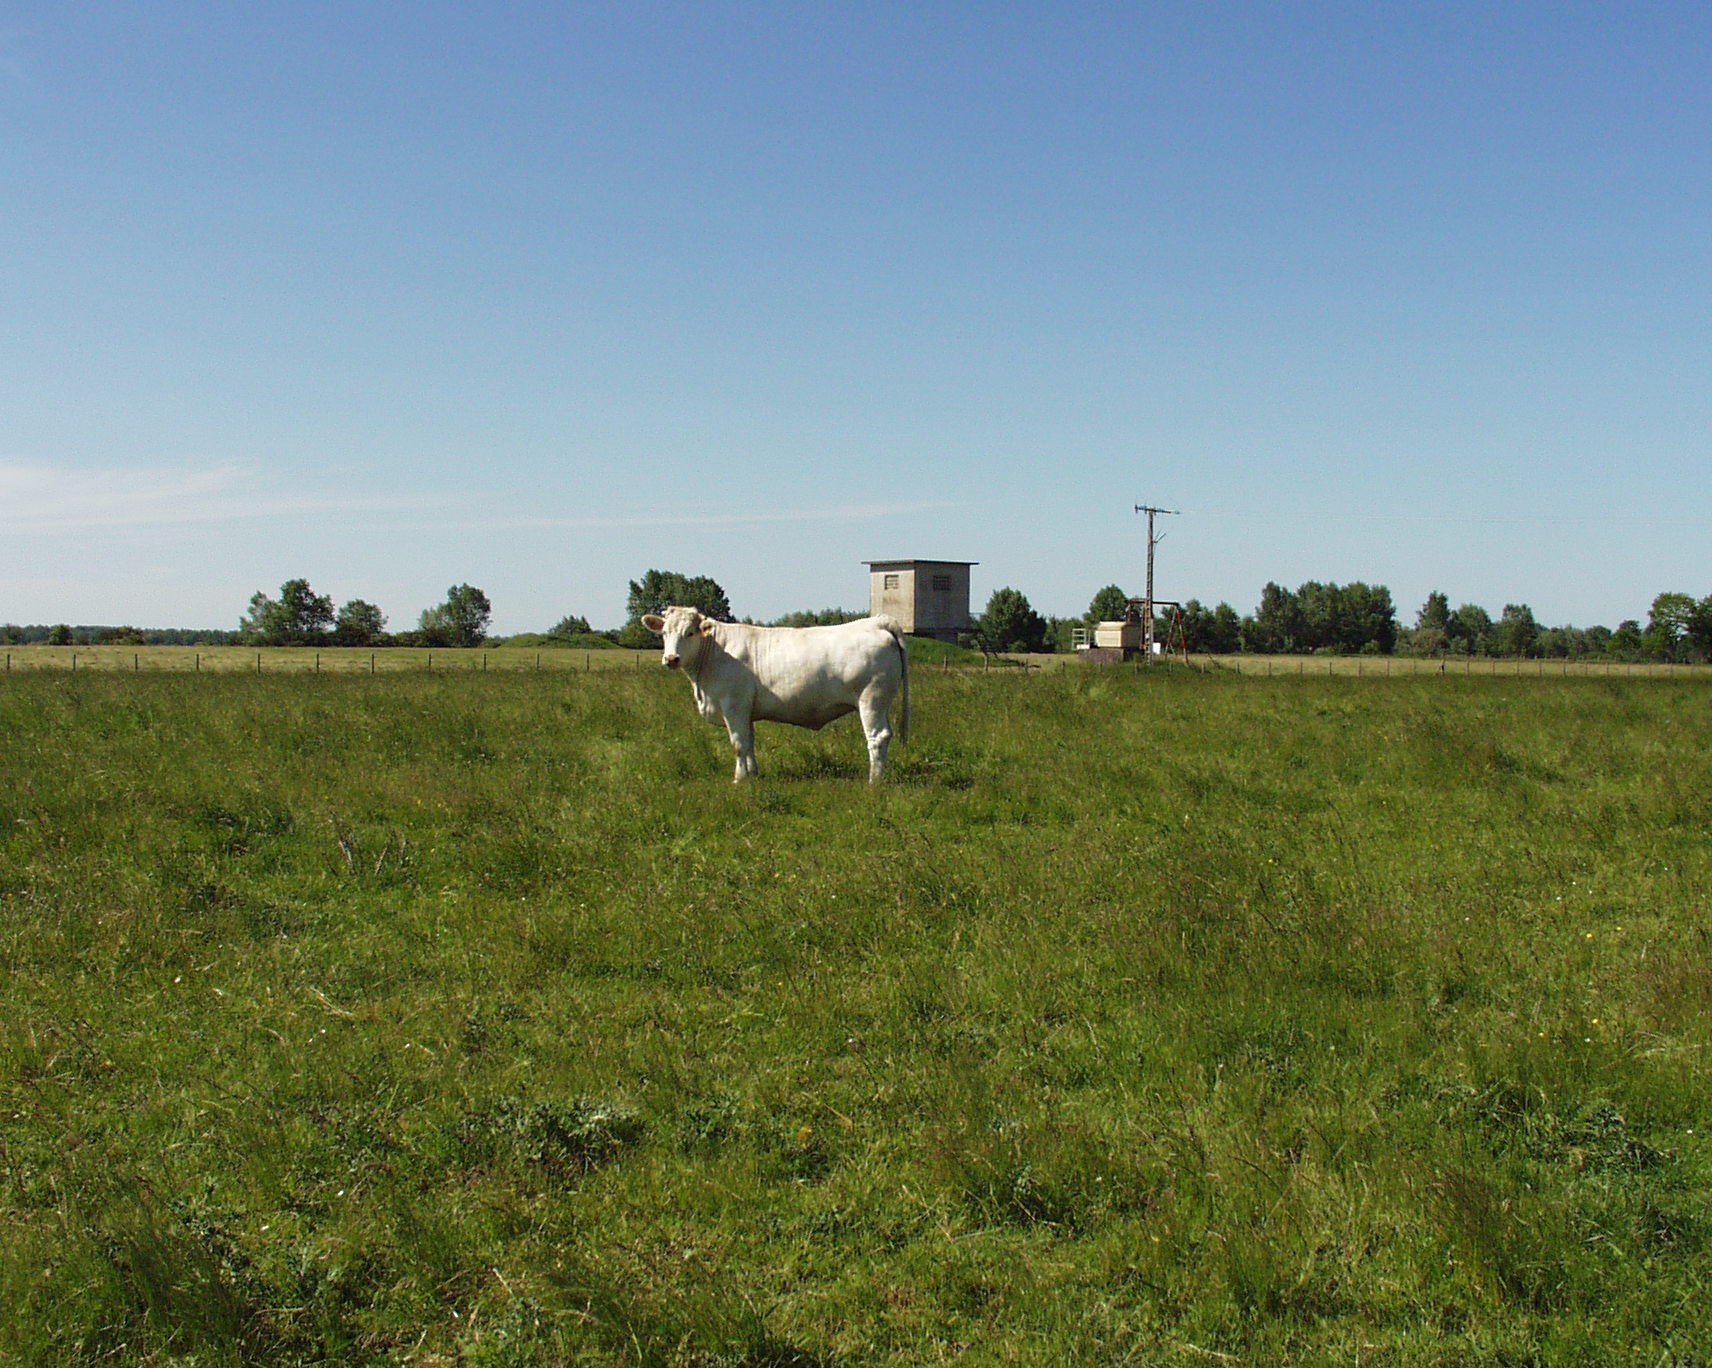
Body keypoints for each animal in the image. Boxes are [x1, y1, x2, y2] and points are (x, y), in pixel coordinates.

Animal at [643, 606, 910, 787]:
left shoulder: (733, 705)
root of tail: (876, 621)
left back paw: (874, 782)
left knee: (877, 737)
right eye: (664, 633)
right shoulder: (746, 710)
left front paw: (739, 780)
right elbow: (749, 742)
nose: (671, 658)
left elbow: (738, 744)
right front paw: (753, 774)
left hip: (871, 699)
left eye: (689, 633)